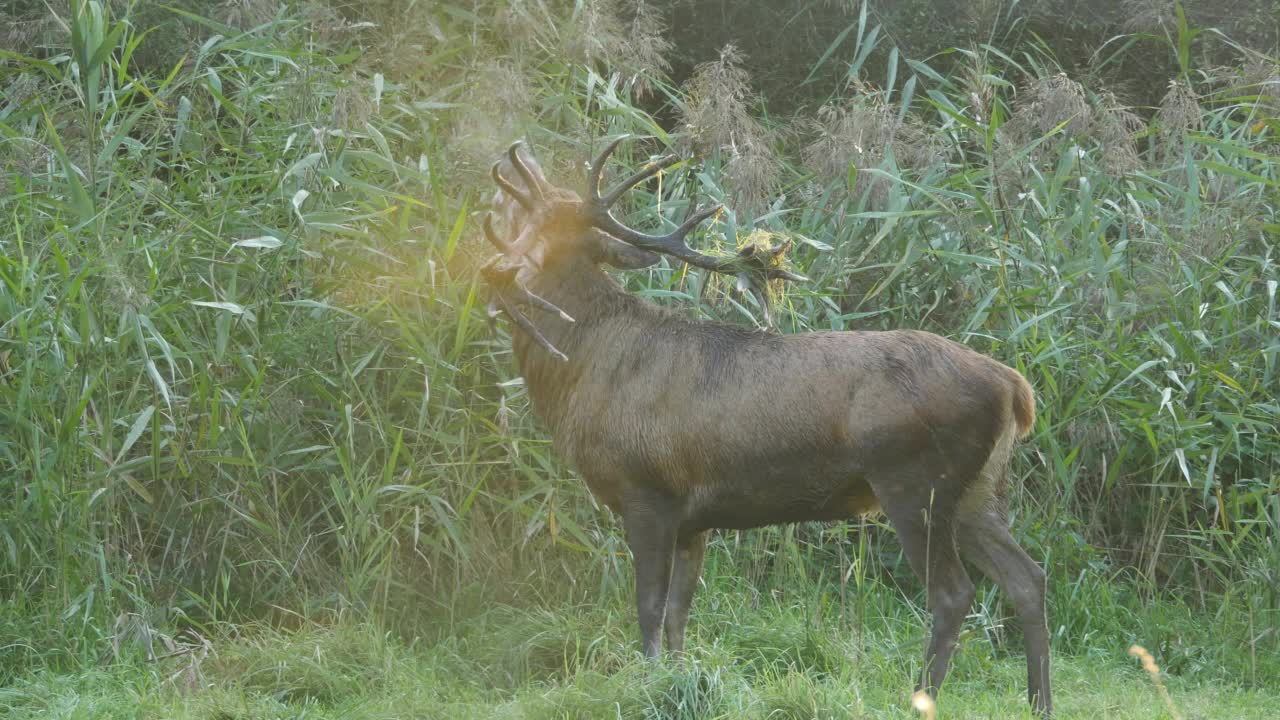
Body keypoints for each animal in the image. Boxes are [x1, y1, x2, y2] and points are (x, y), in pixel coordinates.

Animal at [478, 137, 1049, 712]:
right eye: (521, 223)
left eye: (551, 237)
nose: (495, 271)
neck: (584, 372)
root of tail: (1014, 389)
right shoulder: (694, 518)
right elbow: (679, 614)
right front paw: (678, 683)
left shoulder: (649, 491)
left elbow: (648, 610)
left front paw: (647, 685)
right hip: (976, 490)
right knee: (1027, 577)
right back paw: (1038, 701)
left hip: (915, 480)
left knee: (954, 593)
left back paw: (920, 697)